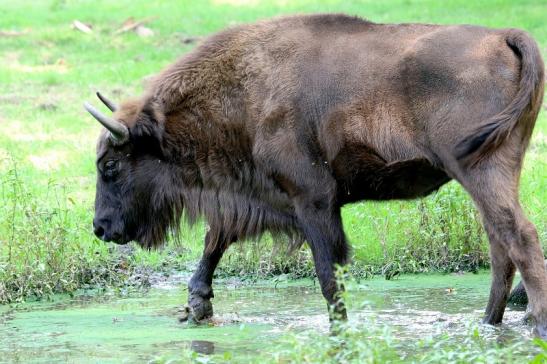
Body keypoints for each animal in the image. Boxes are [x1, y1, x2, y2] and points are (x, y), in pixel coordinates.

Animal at [83, 14, 544, 338]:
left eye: (111, 165)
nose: (101, 228)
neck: (247, 86)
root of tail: (503, 35)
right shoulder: (260, 196)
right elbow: (218, 238)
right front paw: (197, 306)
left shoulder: (313, 202)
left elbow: (327, 274)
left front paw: (339, 329)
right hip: (495, 170)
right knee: (500, 245)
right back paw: (488, 322)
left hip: (479, 171)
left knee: (518, 237)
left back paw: (534, 321)